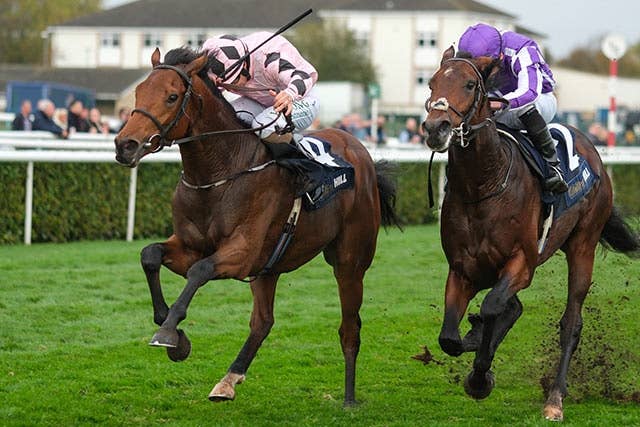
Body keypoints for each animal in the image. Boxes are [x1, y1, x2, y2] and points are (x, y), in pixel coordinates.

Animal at [114, 47, 399, 406]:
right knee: (263, 322)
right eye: (139, 92)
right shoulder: (191, 246)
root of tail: (361, 151)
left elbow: (199, 271)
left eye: (172, 96)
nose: (125, 145)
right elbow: (150, 255)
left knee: (350, 327)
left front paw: (168, 332)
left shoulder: (242, 252)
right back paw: (228, 380)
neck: (218, 175)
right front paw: (173, 332)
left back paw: (349, 398)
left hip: (350, 261)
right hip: (269, 267)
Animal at [422, 47, 640, 421]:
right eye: (432, 82)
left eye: (469, 84)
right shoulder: (462, 268)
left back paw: (555, 398)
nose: (437, 127)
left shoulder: (522, 263)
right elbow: (450, 336)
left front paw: (480, 375)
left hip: (583, 245)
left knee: (571, 323)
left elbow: (492, 306)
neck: (484, 185)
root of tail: (591, 147)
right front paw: (475, 344)